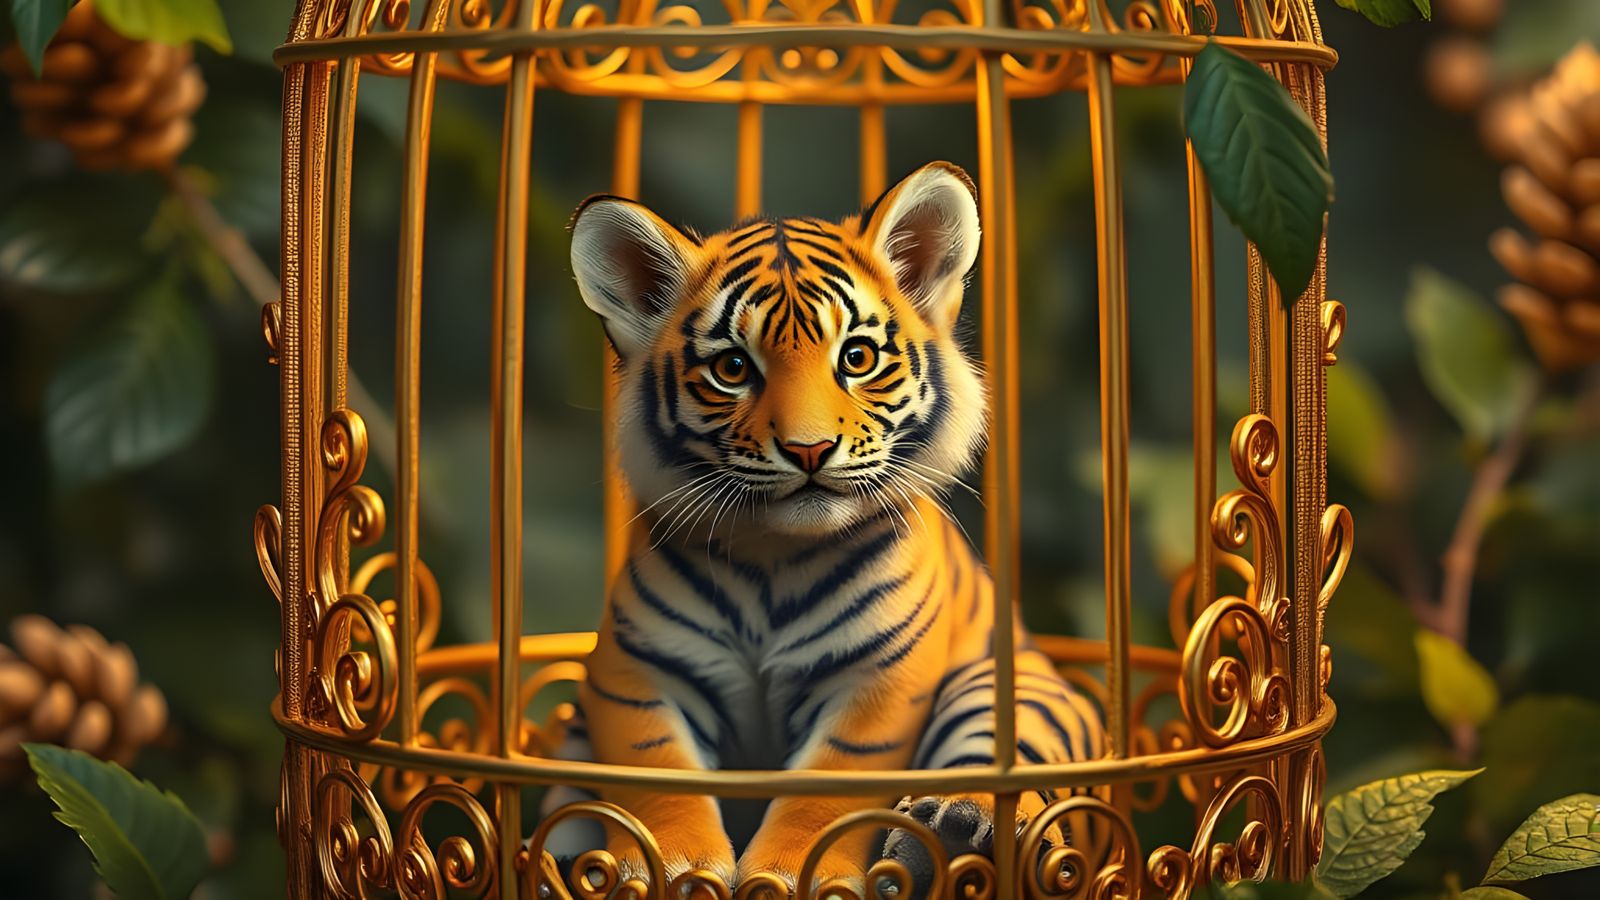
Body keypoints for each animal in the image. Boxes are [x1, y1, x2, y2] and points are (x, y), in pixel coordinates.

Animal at [541, 161, 1104, 896]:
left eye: (857, 357)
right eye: (732, 368)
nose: (808, 450)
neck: (771, 555)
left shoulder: (875, 681)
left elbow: (826, 789)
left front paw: (785, 872)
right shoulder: (637, 670)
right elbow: (656, 772)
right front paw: (677, 867)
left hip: (1011, 690)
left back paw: (955, 830)